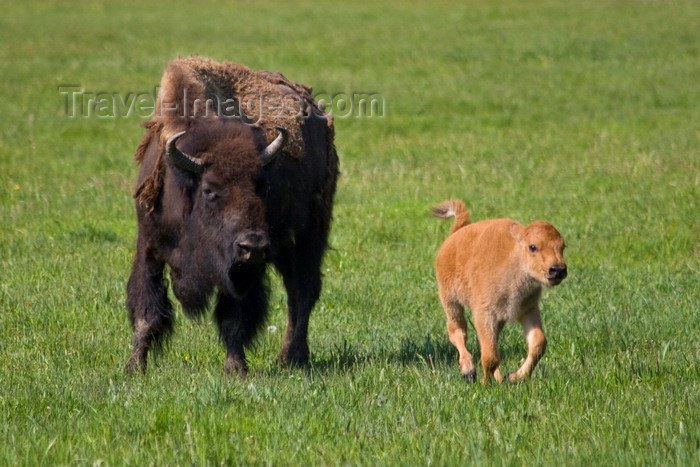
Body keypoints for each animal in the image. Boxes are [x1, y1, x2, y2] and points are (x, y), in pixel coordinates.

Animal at [126, 55, 340, 376]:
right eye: (209, 190)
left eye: (262, 186)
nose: (253, 245)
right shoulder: (149, 249)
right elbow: (146, 313)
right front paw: (134, 368)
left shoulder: (244, 270)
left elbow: (235, 317)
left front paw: (236, 368)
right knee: (297, 291)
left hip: (308, 236)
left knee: (303, 291)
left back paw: (292, 358)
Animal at [430, 199, 568, 386]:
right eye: (533, 247)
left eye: (563, 246)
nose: (558, 270)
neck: (515, 260)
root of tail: (457, 233)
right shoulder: (484, 314)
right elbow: (490, 355)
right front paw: (484, 383)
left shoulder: (527, 309)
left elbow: (538, 344)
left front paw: (514, 376)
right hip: (450, 301)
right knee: (458, 331)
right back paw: (469, 372)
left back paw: (498, 377)